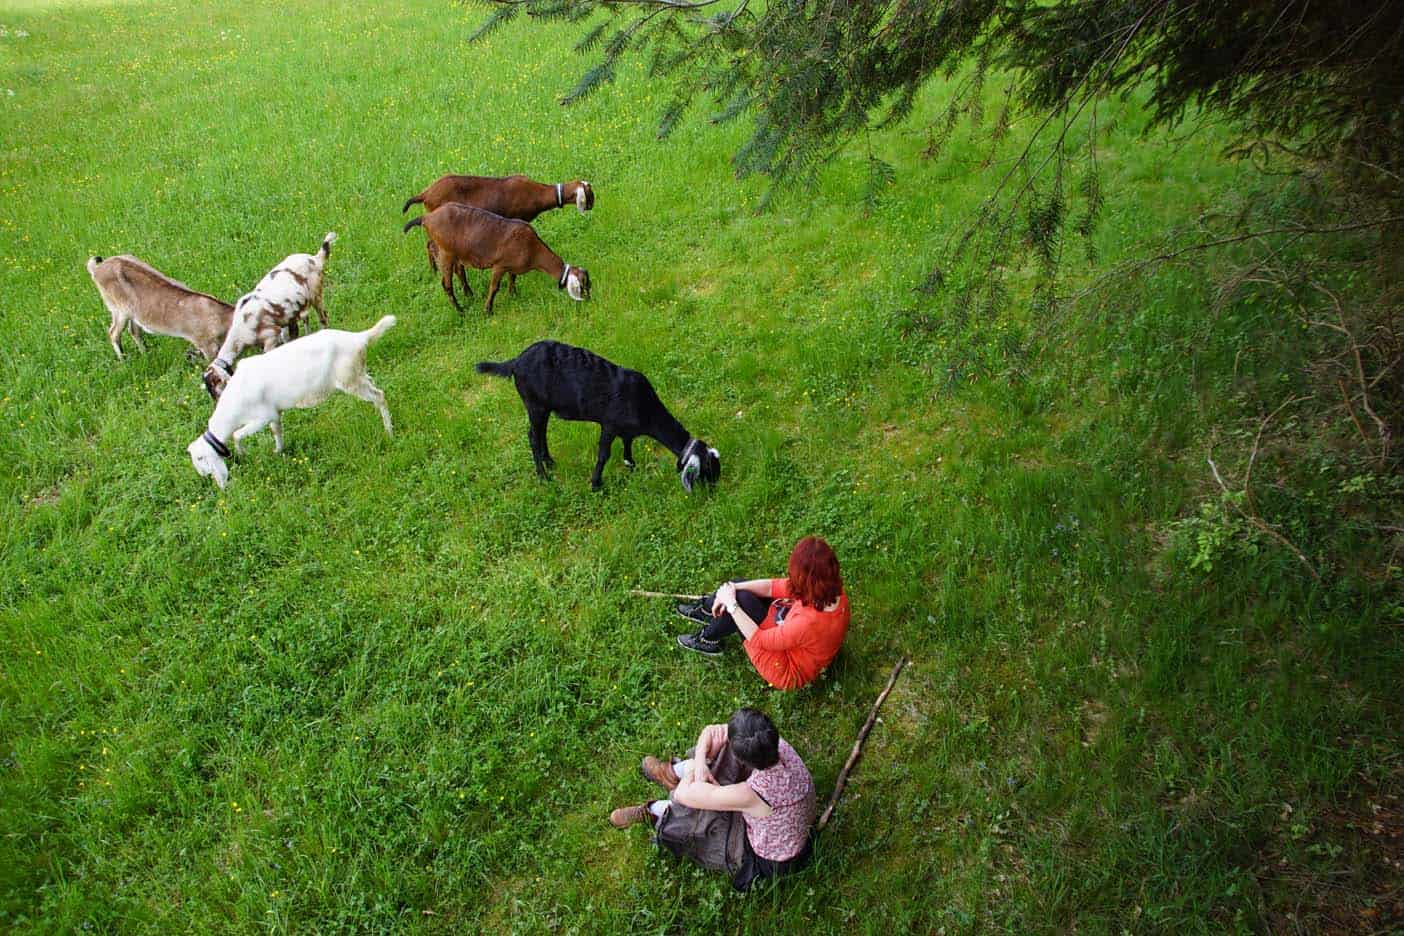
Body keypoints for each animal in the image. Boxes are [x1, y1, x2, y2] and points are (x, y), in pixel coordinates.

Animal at [87, 252, 233, 362]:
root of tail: (96, 268)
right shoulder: (205, 344)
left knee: (134, 331)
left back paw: (146, 355)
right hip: (119, 310)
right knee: (113, 333)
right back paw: (124, 361)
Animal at [186, 317, 395, 491]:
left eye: (202, 460)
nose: (221, 487)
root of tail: (359, 338)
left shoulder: (262, 417)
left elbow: (237, 435)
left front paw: (243, 453)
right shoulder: (274, 413)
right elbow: (277, 431)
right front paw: (278, 451)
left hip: (349, 380)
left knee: (380, 396)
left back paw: (389, 432)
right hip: (359, 374)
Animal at [203, 232, 336, 398]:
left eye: (214, 386)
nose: (218, 401)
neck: (240, 331)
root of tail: (315, 258)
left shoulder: (271, 336)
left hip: (316, 294)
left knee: (323, 316)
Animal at [404, 206, 589, 317]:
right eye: (582, 285)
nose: (588, 300)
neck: (533, 250)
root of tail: (427, 218)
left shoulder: (512, 267)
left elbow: (513, 278)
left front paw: (513, 294)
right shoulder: (499, 265)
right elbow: (494, 287)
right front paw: (488, 310)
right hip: (446, 252)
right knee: (446, 284)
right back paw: (460, 311)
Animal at [474, 342, 724, 491]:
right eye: (708, 470)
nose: (715, 489)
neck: (645, 406)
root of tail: (515, 362)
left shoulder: (626, 429)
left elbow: (627, 443)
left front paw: (630, 465)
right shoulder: (609, 425)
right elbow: (604, 454)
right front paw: (596, 484)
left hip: (543, 408)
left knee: (540, 433)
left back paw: (550, 462)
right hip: (534, 404)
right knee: (533, 437)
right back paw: (543, 475)